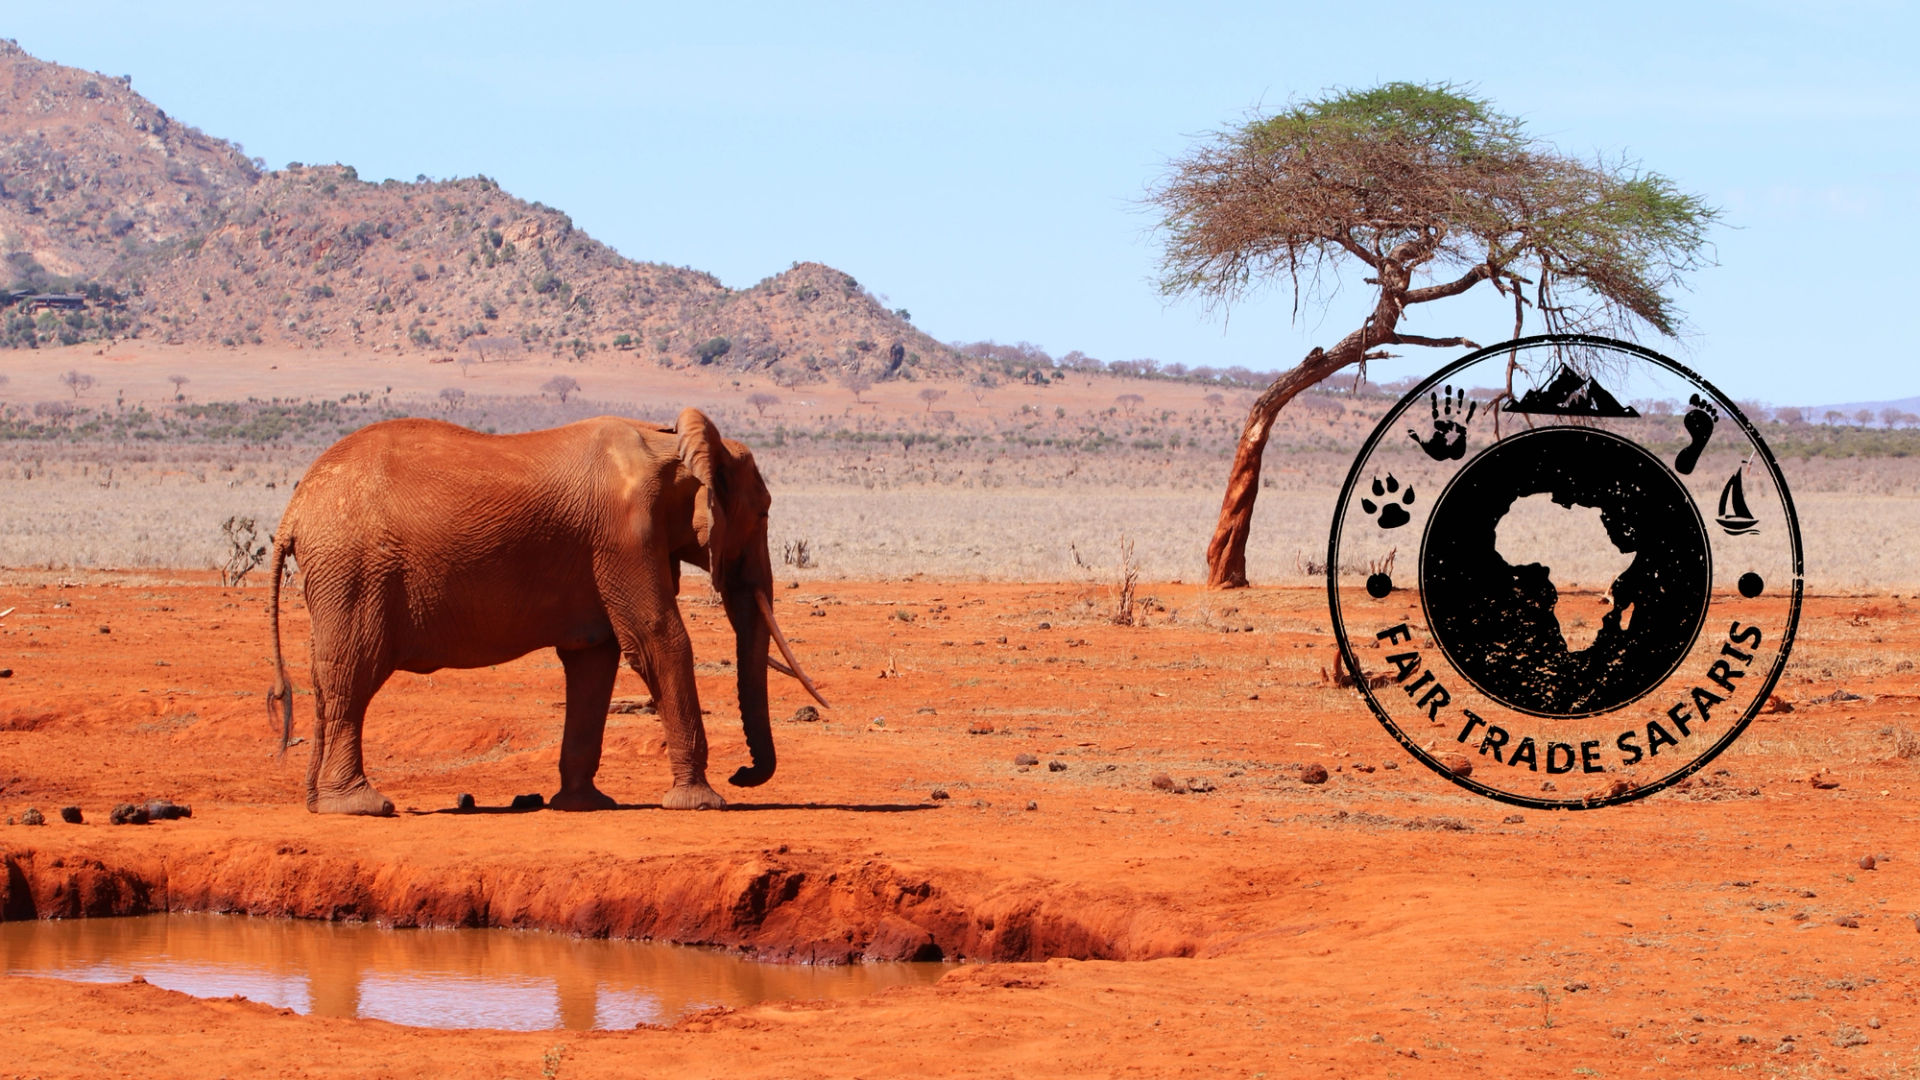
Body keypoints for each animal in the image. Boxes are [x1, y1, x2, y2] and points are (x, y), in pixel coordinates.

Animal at [264, 408, 828, 816]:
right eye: (764, 513)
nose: (743, 774)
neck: (671, 443)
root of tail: (294, 510)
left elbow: (594, 658)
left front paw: (585, 806)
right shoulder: (625, 535)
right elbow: (658, 640)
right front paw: (702, 803)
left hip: (336, 575)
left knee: (327, 679)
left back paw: (319, 804)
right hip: (353, 568)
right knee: (352, 674)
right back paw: (363, 807)